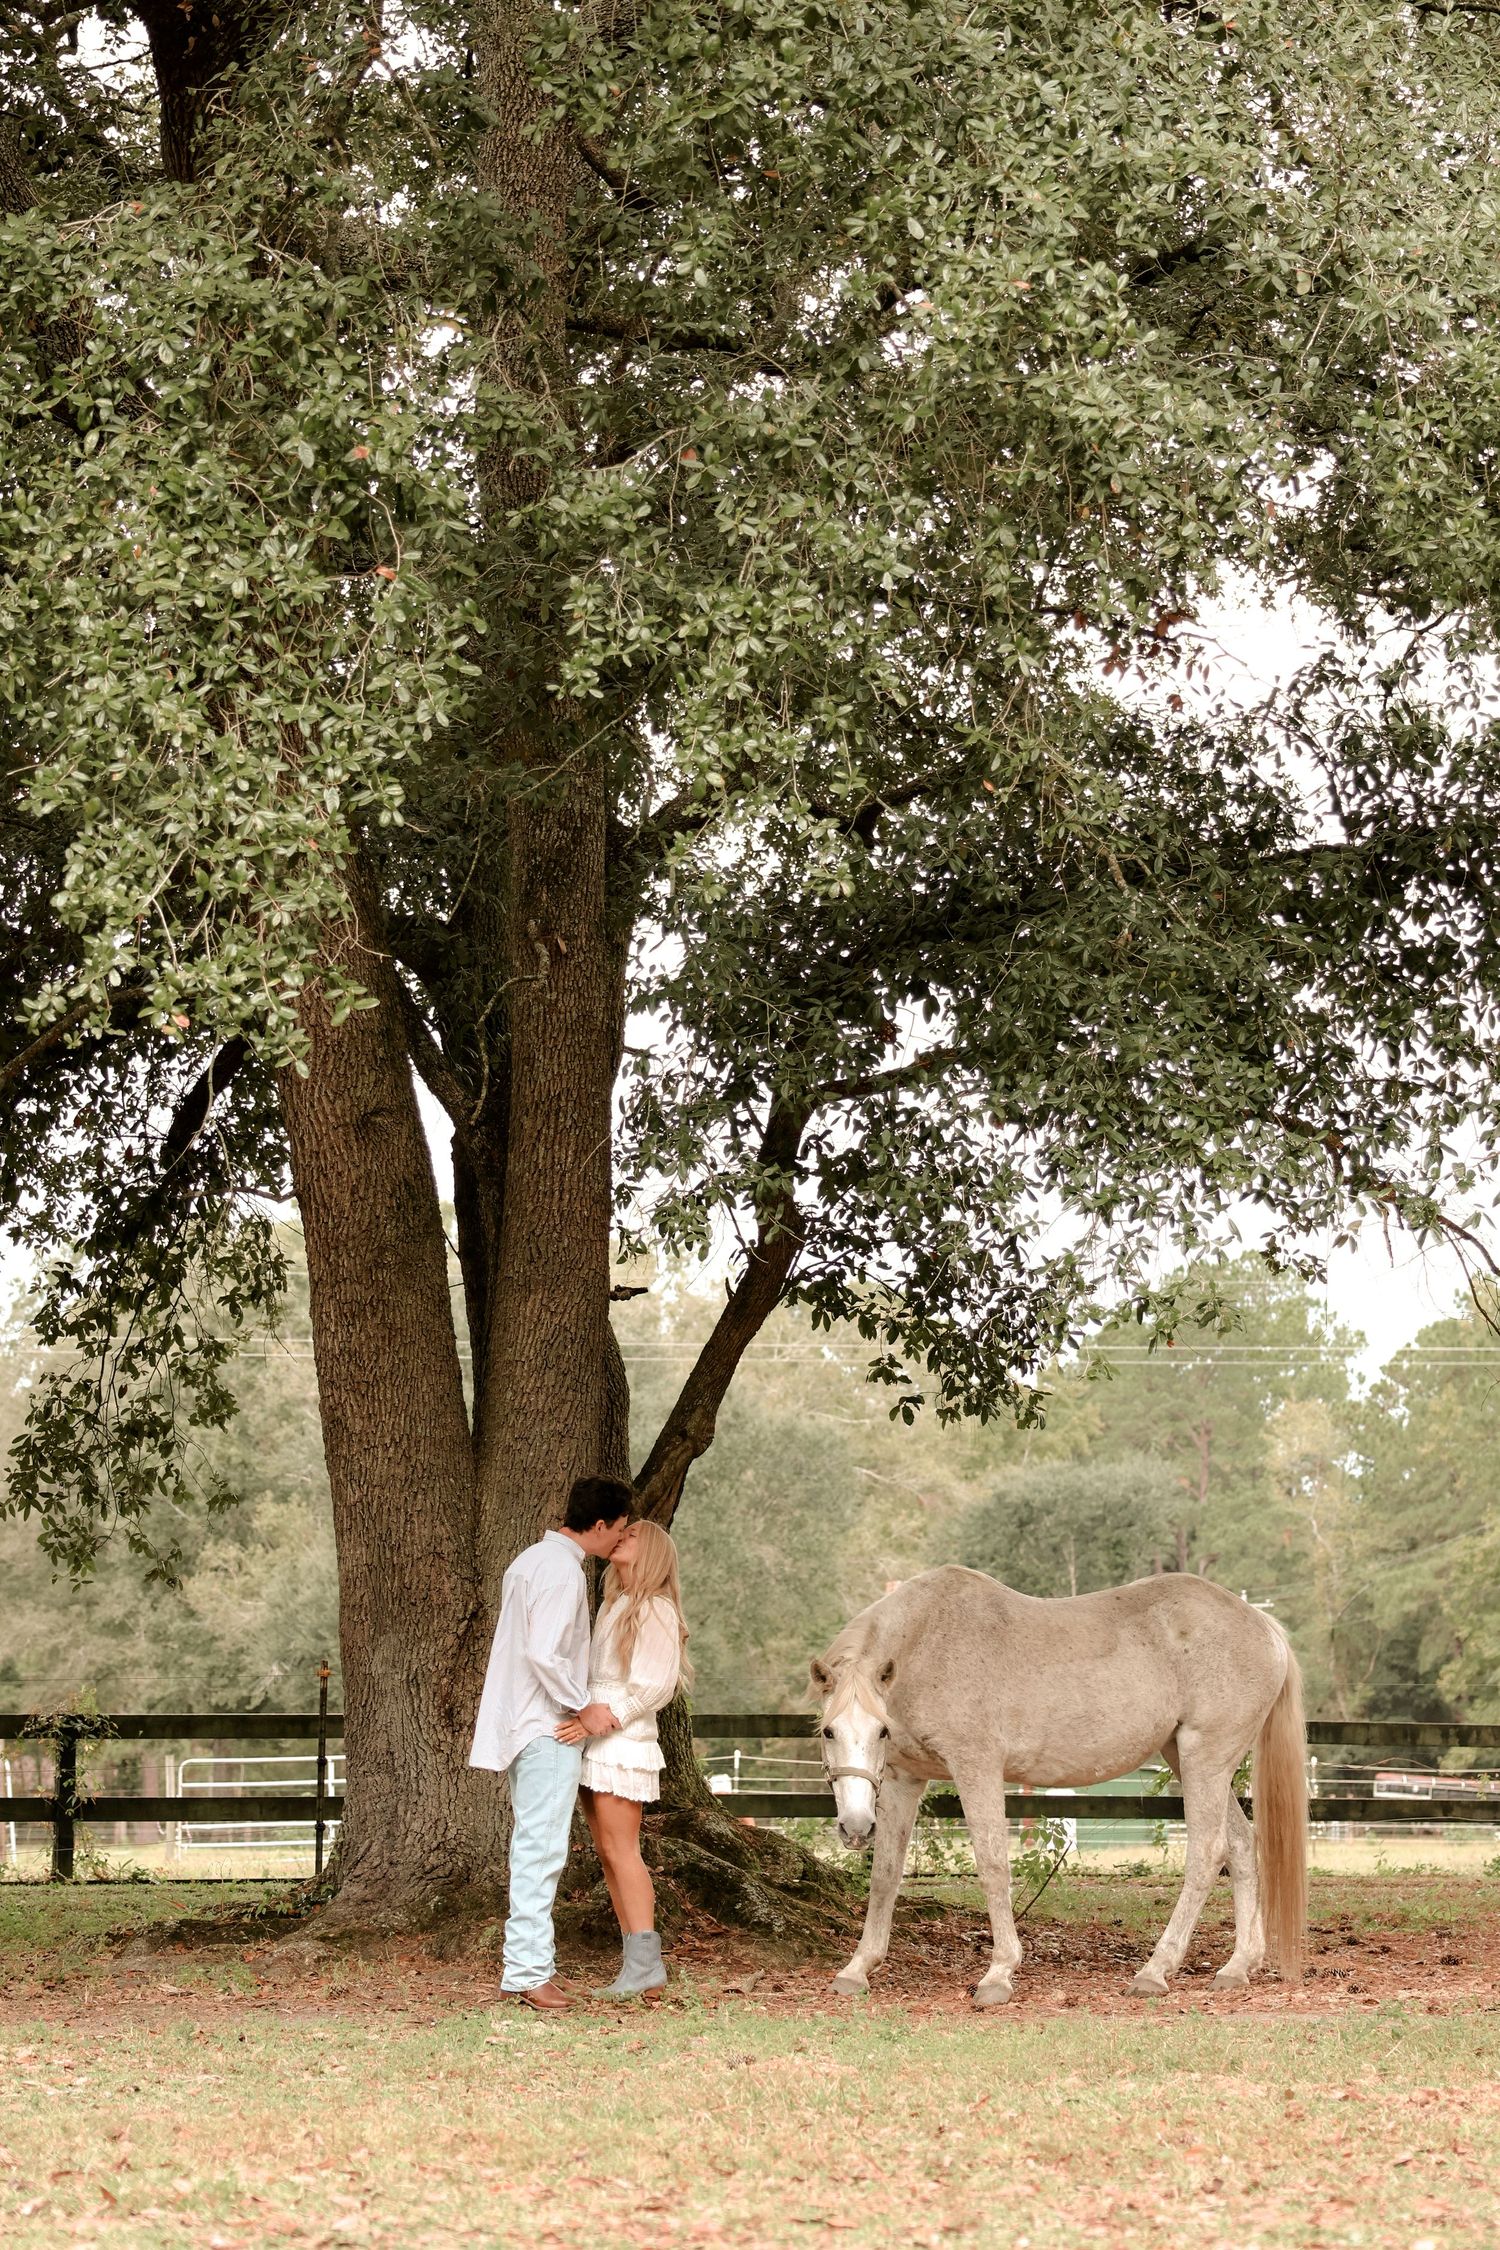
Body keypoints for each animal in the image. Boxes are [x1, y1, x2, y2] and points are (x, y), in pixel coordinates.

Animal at [810, 1564, 1306, 2005]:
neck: (926, 1642)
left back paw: (1155, 1971)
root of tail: (1263, 1626)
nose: (855, 1828)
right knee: (1241, 1845)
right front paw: (857, 1968)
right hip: (1187, 1758)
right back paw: (1237, 1966)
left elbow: (993, 1866)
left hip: (1205, 1758)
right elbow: (885, 1873)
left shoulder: (977, 1767)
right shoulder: (903, 1779)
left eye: (880, 1731)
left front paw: (999, 1973)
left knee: (1207, 1852)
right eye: (828, 1731)